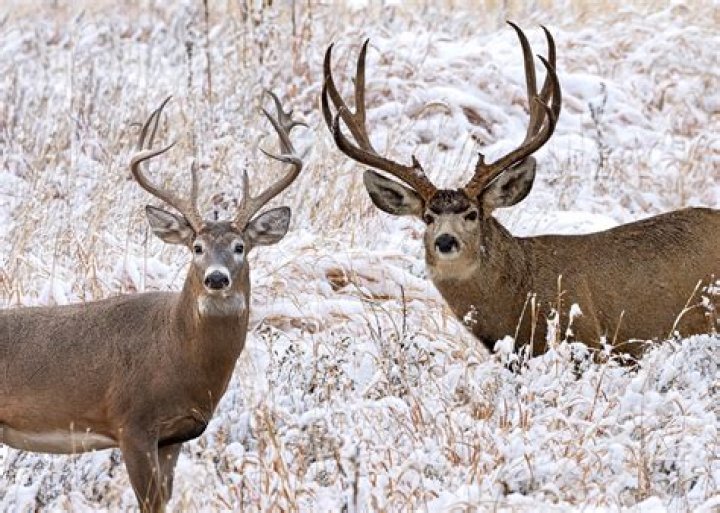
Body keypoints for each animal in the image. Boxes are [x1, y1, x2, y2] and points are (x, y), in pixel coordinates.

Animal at [0, 91, 305, 512]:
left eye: (240, 247)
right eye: (196, 247)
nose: (216, 278)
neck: (176, 351)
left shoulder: (173, 437)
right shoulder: (132, 423)